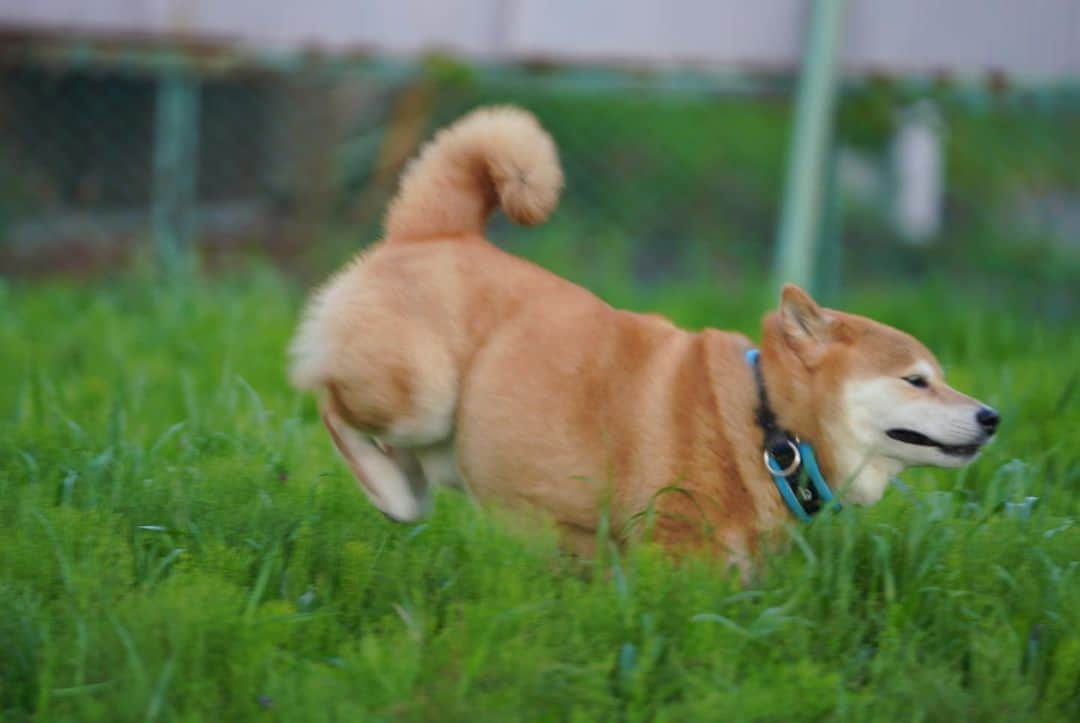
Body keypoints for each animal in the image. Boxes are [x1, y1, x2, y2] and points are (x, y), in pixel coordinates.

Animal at [289, 105, 1002, 561]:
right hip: (422, 394)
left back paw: (401, 488)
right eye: (916, 380)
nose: (992, 416)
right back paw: (388, 488)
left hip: (443, 428)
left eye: (940, 377)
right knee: (329, 404)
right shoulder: (675, 549)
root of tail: (437, 230)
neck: (767, 426)